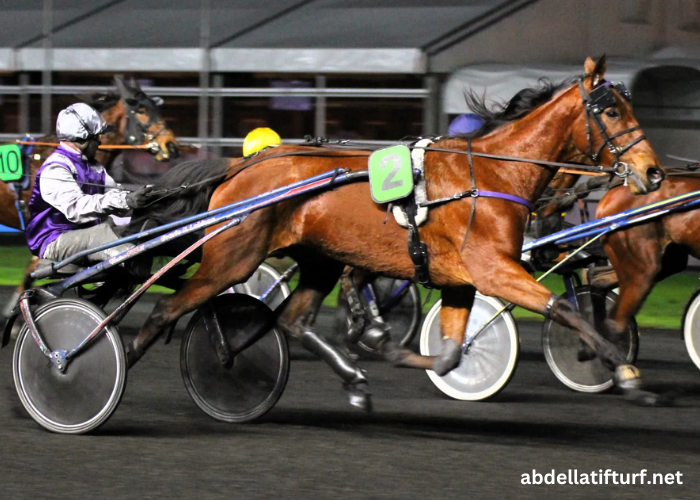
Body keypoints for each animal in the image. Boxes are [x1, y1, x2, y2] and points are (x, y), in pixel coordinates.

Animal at [127, 56, 668, 410]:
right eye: (613, 111)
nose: (654, 173)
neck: (492, 175)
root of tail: (241, 167)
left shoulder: (459, 281)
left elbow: (448, 358)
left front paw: (384, 345)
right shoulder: (493, 270)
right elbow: (565, 311)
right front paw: (625, 371)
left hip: (320, 260)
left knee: (293, 321)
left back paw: (349, 378)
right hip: (232, 257)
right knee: (167, 308)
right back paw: (121, 364)